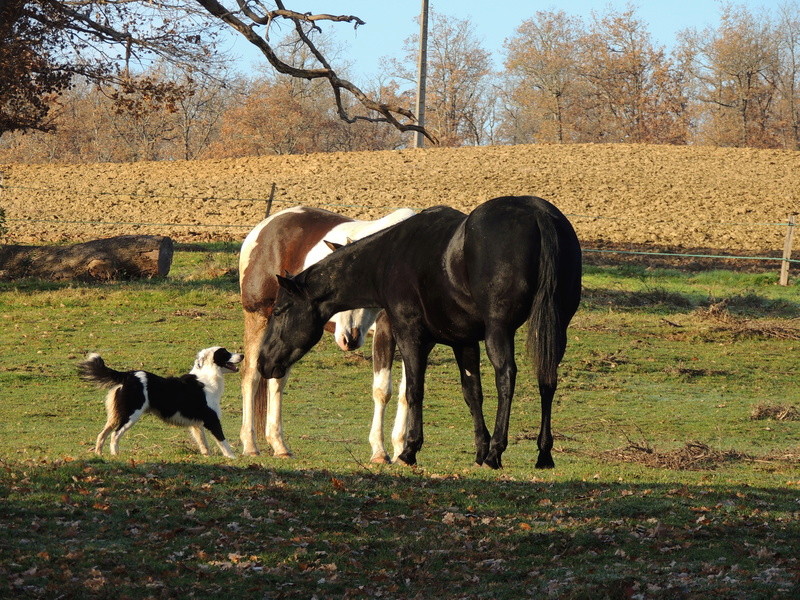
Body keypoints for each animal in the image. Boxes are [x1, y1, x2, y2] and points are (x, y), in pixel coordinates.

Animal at [238, 205, 412, 460]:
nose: (350, 337)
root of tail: (264, 227)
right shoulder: (385, 333)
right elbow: (383, 391)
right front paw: (379, 452)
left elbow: (406, 393)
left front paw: (401, 451)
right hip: (258, 317)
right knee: (251, 376)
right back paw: (250, 445)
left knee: (276, 380)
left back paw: (279, 445)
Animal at [260, 197, 580, 468]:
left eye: (279, 311)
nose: (264, 362)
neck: (389, 257)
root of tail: (537, 213)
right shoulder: (463, 342)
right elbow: (472, 393)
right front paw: (479, 450)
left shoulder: (410, 335)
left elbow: (413, 390)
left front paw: (409, 450)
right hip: (555, 329)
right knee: (547, 380)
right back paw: (543, 454)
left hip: (499, 332)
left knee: (506, 378)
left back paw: (497, 453)